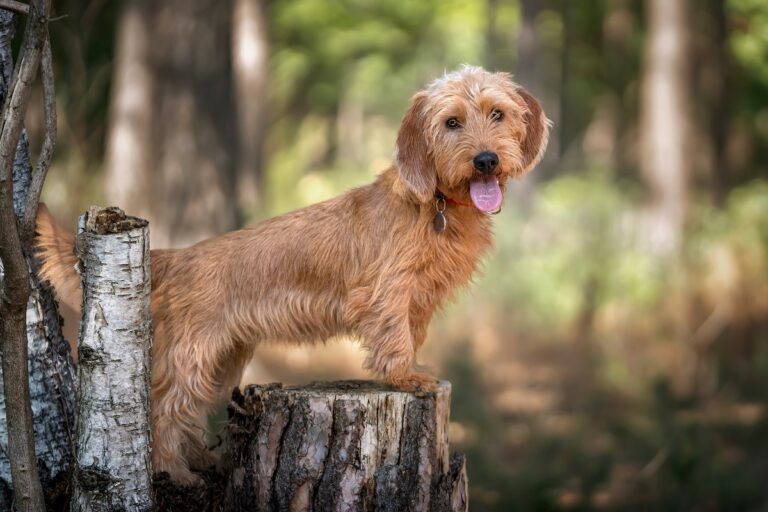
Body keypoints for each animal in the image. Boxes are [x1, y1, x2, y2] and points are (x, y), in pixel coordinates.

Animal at [36, 65, 548, 484]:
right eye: (451, 122)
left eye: (498, 114)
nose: (486, 160)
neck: (438, 205)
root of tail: (176, 256)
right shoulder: (388, 291)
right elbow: (395, 336)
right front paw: (404, 375)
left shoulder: (419, 299)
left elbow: (412, 334)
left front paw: (411, 370)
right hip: (190, 357)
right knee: (165, 411)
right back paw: (175, 474)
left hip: (224, 360)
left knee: (187, 415)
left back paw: (201, 459)